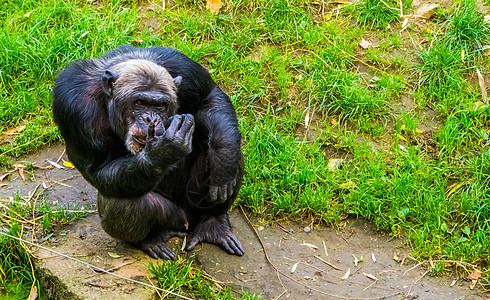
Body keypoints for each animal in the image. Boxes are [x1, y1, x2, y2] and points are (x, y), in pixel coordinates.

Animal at [52, 45, 244, 260]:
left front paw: (223, 160)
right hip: (174, 218)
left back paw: (214, 222)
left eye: (160, 105)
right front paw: (163, 152)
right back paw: (150, 240)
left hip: (193, 205)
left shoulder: (185, 68)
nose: (151, 119)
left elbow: (209, 97)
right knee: (122, 203)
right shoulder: (73, 106)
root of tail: (187, 223)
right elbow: (99, 169)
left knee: (231, 149)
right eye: (139, 103)